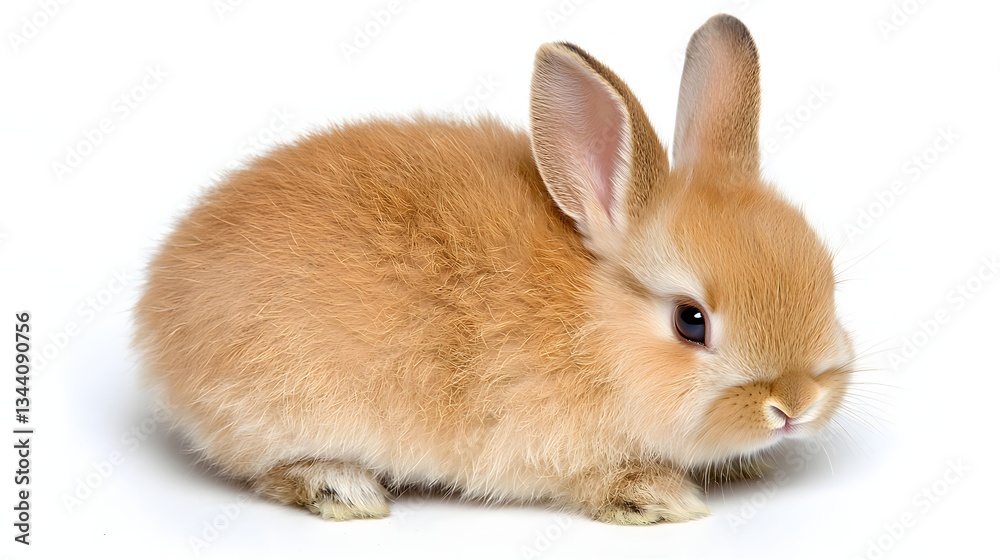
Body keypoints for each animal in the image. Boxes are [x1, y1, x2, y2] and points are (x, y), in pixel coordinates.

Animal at [134, 14, 854, 525]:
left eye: (827, 278)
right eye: (691, 321)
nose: (796, 404)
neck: (596, 325)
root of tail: (158, 306)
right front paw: (658, 497)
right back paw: (341, 487)